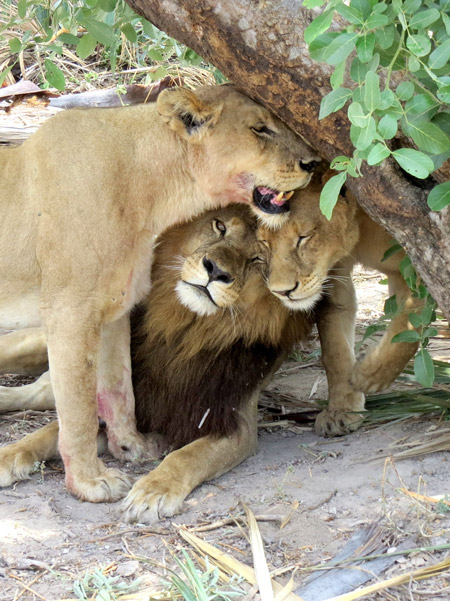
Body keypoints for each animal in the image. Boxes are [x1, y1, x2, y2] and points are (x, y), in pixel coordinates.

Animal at [0, 82, 318, 500]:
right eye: (260, 129)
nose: (313, 164)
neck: (151, 193)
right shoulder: (71, 314)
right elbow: (80, 409)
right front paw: (89, 481)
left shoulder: (115, 310)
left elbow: (119, 388)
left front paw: (131, 447)